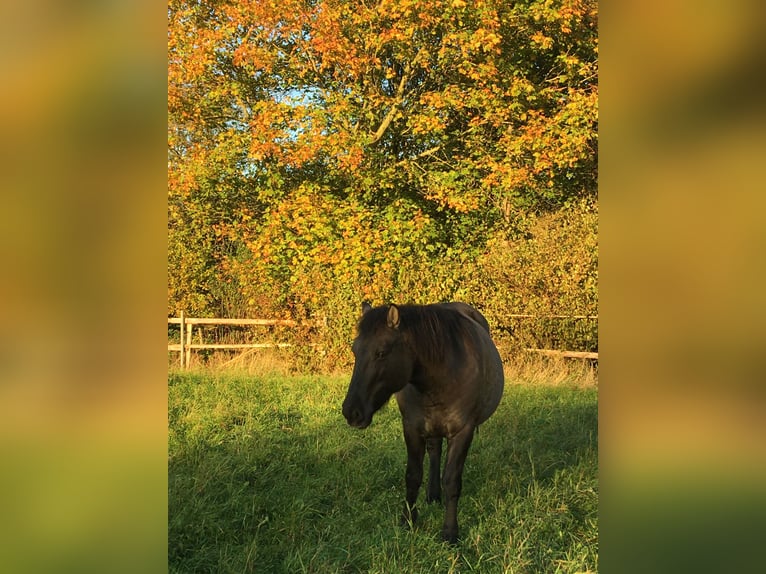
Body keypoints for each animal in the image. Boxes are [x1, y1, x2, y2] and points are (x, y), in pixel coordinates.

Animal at [342, 302, 504, 544]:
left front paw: (450, 533)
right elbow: (412, 475)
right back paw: (433, 494)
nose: (351, 412)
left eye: (381, 353)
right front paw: (407, 520)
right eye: (355, 350)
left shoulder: (462, 432)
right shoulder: (411, 428)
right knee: (435, 451)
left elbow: (452, 481)